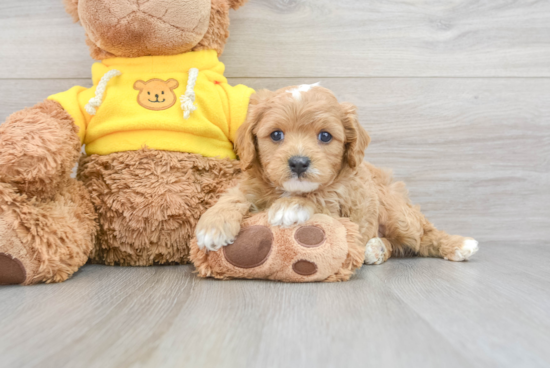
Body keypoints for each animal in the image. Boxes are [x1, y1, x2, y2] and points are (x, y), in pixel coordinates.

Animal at [196, 83, 480, 264]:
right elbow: (234, 196)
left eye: (325, 136)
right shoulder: (251, 184)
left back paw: (458, 245)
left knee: (423, 236)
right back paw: (375, 248)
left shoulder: (345, 200)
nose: (299, 163)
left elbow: (321, 196)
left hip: (397, 212)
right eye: (276, 134)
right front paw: (212, 225)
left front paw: (291, 206)